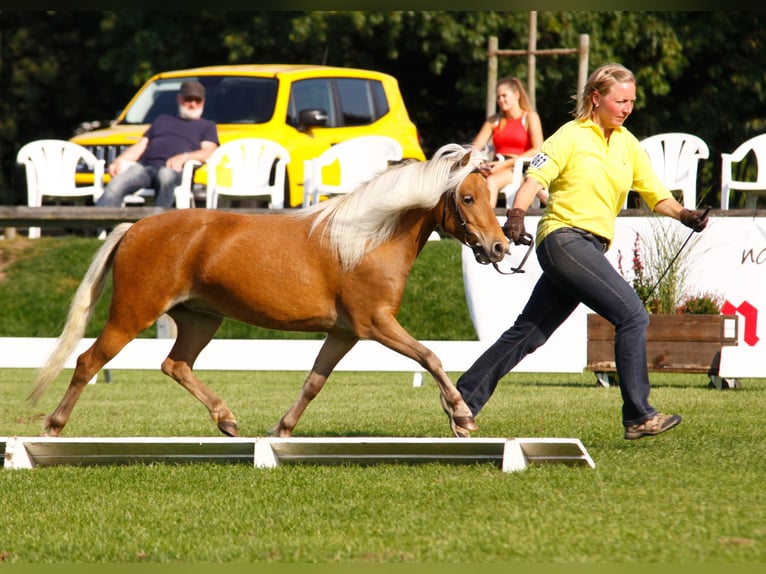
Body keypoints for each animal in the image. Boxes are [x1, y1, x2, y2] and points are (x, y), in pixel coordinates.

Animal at [29, 144, 508, 439]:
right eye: (467, 198)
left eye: (491, 196)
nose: (500, 246)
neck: (367, 239)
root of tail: (133, 228)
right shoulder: (376, 324)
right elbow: (430, 356)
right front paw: (461, 416)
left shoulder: (344, 333)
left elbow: (314, 381)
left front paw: (281, 430)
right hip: (132, 315)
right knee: (88, 361)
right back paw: (53, 426)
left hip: (201, 320)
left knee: (175, 364)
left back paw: (226, 420)